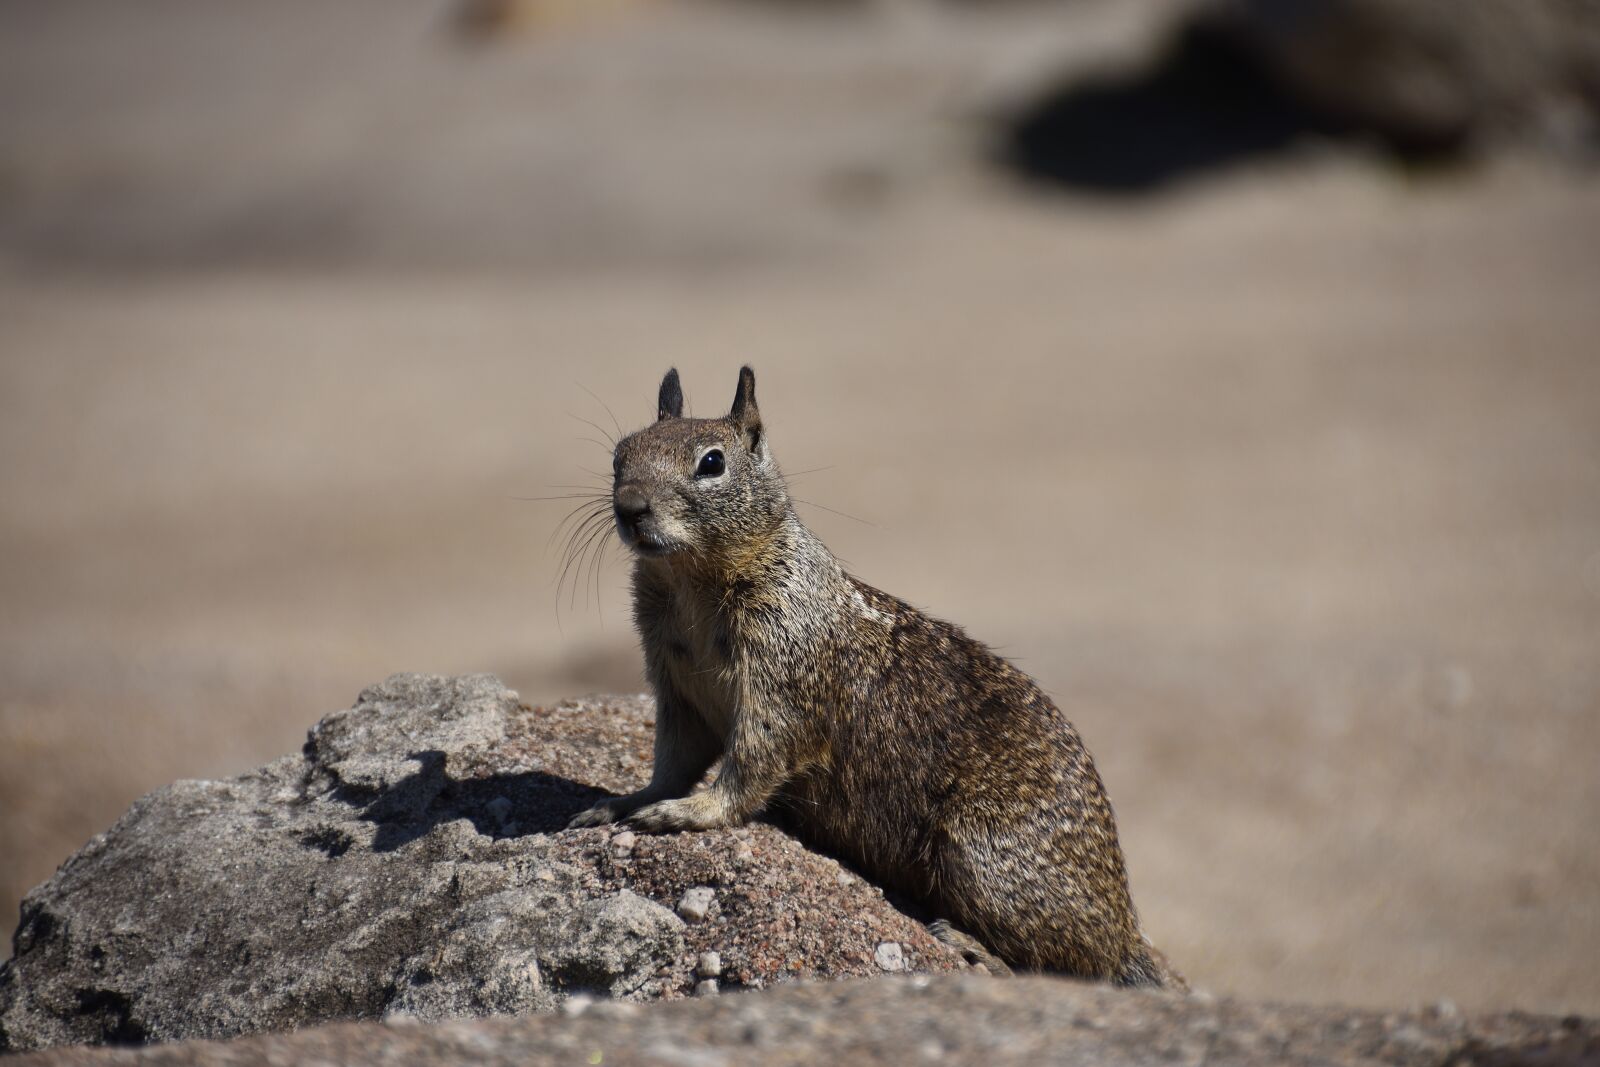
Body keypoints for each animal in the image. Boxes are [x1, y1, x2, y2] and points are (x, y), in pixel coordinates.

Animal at [568, 366, 1181, 987]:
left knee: (1074, 963)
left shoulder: (781, 683)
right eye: (621, 454)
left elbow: (751, 765)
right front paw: (625, 802)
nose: (630, 507)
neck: (690, 580)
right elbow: (673, 760)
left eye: (712, 463)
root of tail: (1124, 929)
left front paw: (685, 813)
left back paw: (976, 947)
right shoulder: (678, 693)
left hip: (980, 856)